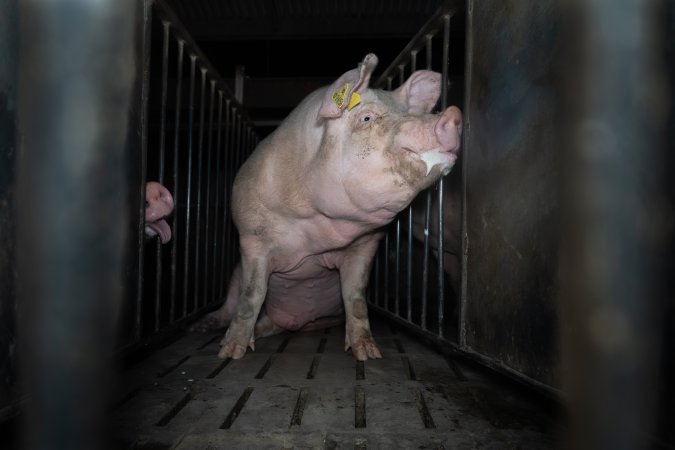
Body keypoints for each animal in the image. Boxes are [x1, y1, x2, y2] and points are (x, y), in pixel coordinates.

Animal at [196, 54, 463, 360]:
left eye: (408, 111)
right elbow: (252, 294)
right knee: (232, 300)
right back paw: (206, 327)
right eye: (366, 117)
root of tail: (293, 321)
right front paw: (230, 353)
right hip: (235, 273)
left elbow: (354, 296)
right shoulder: (252, 236)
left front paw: (369, 354)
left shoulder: (365, 245)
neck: (319, 232)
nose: (453, 114)